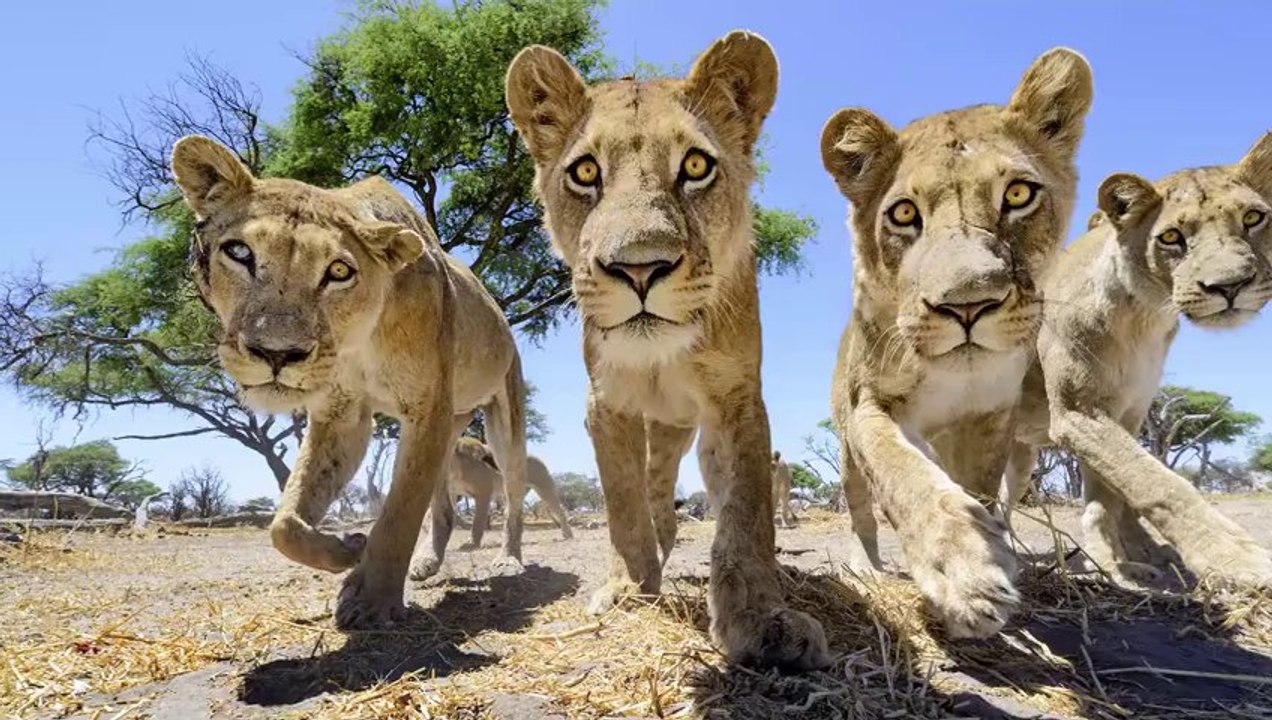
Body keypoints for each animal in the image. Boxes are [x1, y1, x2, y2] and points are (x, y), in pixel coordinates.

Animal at [171, 135, 529, 629]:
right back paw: (426, 563)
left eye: (339, 272)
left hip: (502, 420)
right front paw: (346, 549)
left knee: (512, 492)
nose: (276, 353)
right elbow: (285, 522)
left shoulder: (427, 409)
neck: (359, 340)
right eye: (240, 253)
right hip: (450, 429)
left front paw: (370, 600)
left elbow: (400, 512)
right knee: (443, 506)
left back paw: (509, 559)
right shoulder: (343, 415)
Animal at [437, 437, 572, 550]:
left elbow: (477, 521)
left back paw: (567, 535)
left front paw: (471, 544)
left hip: (544, 485)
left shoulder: (483, 492)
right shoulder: (452, 493)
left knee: (559, 509)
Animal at [506, 31, 830, 670]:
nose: (639, 268)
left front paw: (760, 618)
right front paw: (630, 589)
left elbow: (745, 512)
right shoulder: (606, 404)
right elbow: (623, 503)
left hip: (684, 430)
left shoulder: (737, 399)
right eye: (585, 171)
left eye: (696, 166)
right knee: (653, 488)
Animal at [820, 48, 1094, 638]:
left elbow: (979, 489)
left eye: (1018, 194)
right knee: (860, 508)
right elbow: (903, 473)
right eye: (904, 213)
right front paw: (966, 570)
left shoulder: (990, 416)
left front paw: (989, 551)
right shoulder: (869, 405)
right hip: (845, 448)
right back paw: (866, 566)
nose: (967, 304)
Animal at [1003, 133, 1272, 586]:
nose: (1230, 286)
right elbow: (1157, 482)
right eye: (1171, 237)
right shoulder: (1078, 412)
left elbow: (1111, 497)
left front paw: (1124, 561)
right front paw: (1238, 557)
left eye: (1254, 217)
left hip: (1021, 454)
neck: (1145, 316)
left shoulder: (1128, 414)